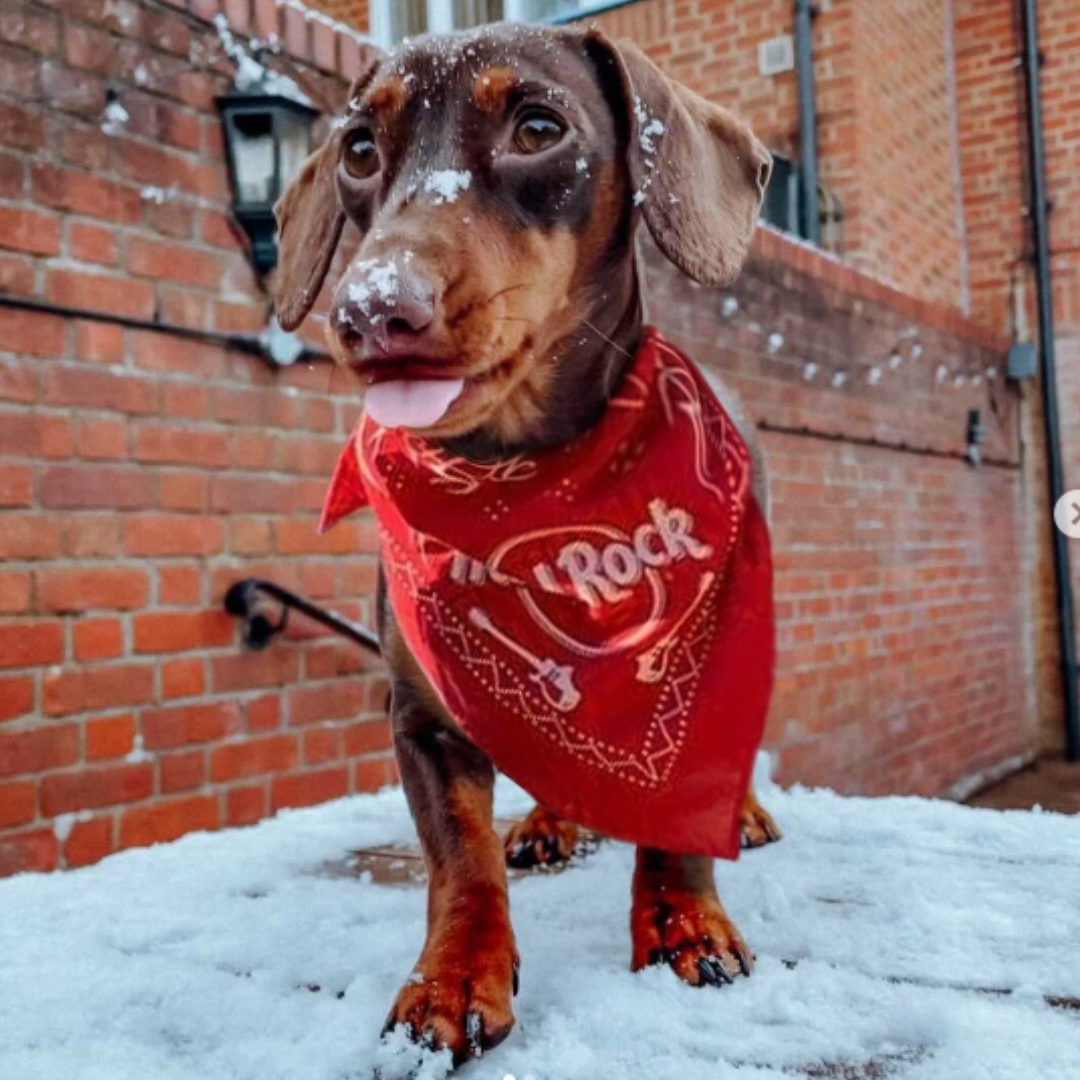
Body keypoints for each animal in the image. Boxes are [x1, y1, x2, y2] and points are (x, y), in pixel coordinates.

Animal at [274, 23, 781, 1071]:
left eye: (540, 127)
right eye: (358, 148)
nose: (372, 310)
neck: (529, 486)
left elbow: (678, 818)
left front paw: (685, 924)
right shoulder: (420, 714)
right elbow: (459, 858)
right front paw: (453, 978)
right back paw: (551, 821)